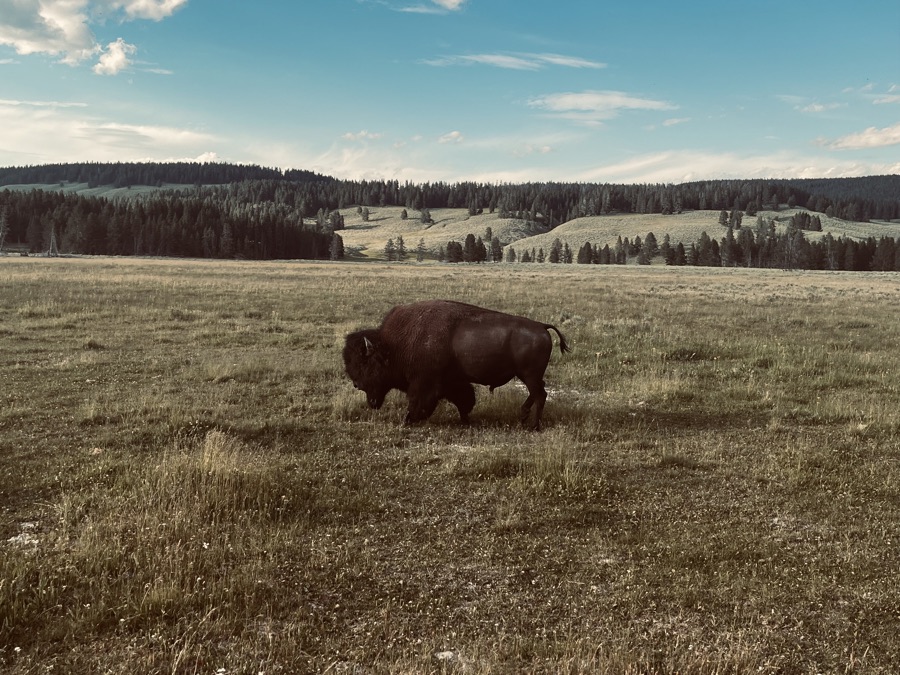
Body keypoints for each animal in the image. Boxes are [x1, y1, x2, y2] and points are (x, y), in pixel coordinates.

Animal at [343, 300, 569, 430]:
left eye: (365, 363)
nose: (356, 384)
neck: (394, 346)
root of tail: (541, 326)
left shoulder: (425, 383)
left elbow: (418, 402)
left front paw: (408, 420)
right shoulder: (453, 381)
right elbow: (464, 400)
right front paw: (466, 420)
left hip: (529, 375)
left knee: (540, 395)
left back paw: (533, 426)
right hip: (529, 375)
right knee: (537, 393)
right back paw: (523, 417)